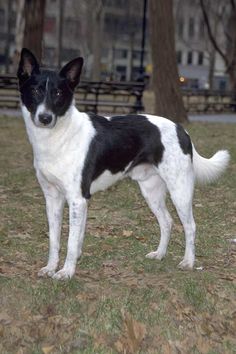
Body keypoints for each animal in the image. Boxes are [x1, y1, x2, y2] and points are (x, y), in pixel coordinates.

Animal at [17, 48, 230, 280]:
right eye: (35, 90)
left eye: (58, 93)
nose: (45, 118)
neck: (58, 136)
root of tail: (181, 130)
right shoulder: (53, 198)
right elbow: (55, 239)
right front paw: (51, 267)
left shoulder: (77, 199)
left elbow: (72, 242)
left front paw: (66, 271)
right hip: (151, 190)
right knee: (167, 221)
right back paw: (160, 254)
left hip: (179, 190)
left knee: (190, 226)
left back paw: (189, 262)